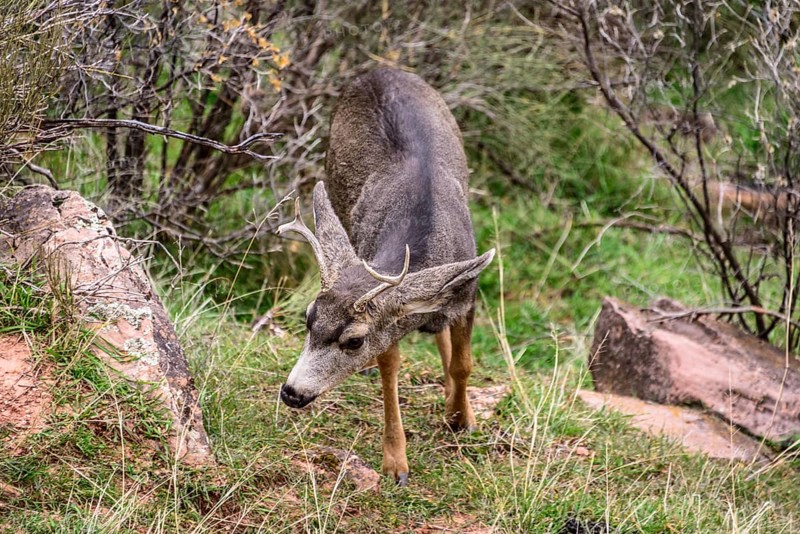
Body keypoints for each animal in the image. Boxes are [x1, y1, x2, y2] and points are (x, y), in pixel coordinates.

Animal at [277, 68, 494, 486]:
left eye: (354, 341)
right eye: (308, 318)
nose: (292, 392)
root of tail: (377, 70)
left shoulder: (467, 294)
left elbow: (463, 364)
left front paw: (461, 418)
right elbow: (390, 372)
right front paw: (396, 462)